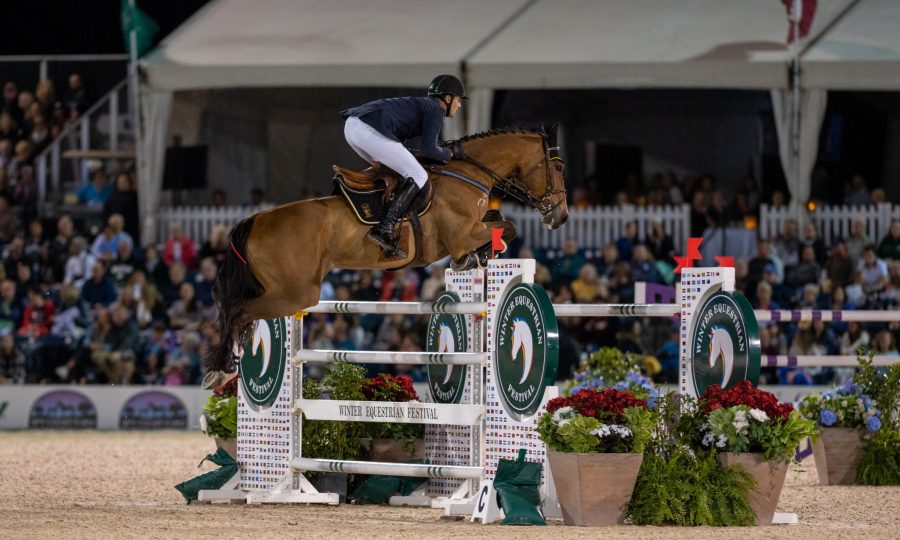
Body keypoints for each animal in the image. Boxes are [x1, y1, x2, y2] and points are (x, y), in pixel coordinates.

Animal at [205, 126, 568, 386]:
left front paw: (479, 257)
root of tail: (254, 221)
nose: (559, 217)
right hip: (296, 294)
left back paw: (222, 366)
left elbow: (502, 226)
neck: (468, 173)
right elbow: (507, 228)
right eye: (559, 167)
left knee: (238, 313)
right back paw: (223, 369)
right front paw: (475, 256)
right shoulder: (461, 235)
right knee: (237, 311)